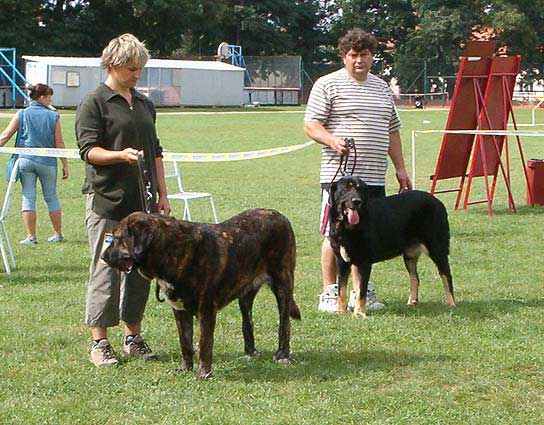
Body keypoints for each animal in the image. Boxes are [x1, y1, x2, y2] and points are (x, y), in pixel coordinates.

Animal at [100, 209, 300, 378]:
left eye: (117, 238)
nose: (103, 256)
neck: (171, 251)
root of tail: (280, 216)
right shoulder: (180, 310)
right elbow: (185, 343)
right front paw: (184, 368)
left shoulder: (206, 310)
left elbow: (204, 343)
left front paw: (203, 373)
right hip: (245, 296)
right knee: (247, 323)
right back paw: (250, 353)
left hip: (283, 285)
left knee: (285, 323)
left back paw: (282, 355)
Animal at [328, 176, 454, 318]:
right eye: (346, 188)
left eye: (359, 189)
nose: (356, 201)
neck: (346, 227)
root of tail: (437, 201)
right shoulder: (341, 261)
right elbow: (341, 288)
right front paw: (341, 311)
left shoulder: (364, 262)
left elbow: (361, 291)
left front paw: (359, 313)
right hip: (410, 255)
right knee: (415, 278)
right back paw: (412, 302)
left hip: (437, 248)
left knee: (446, 275)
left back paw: (451, 303)